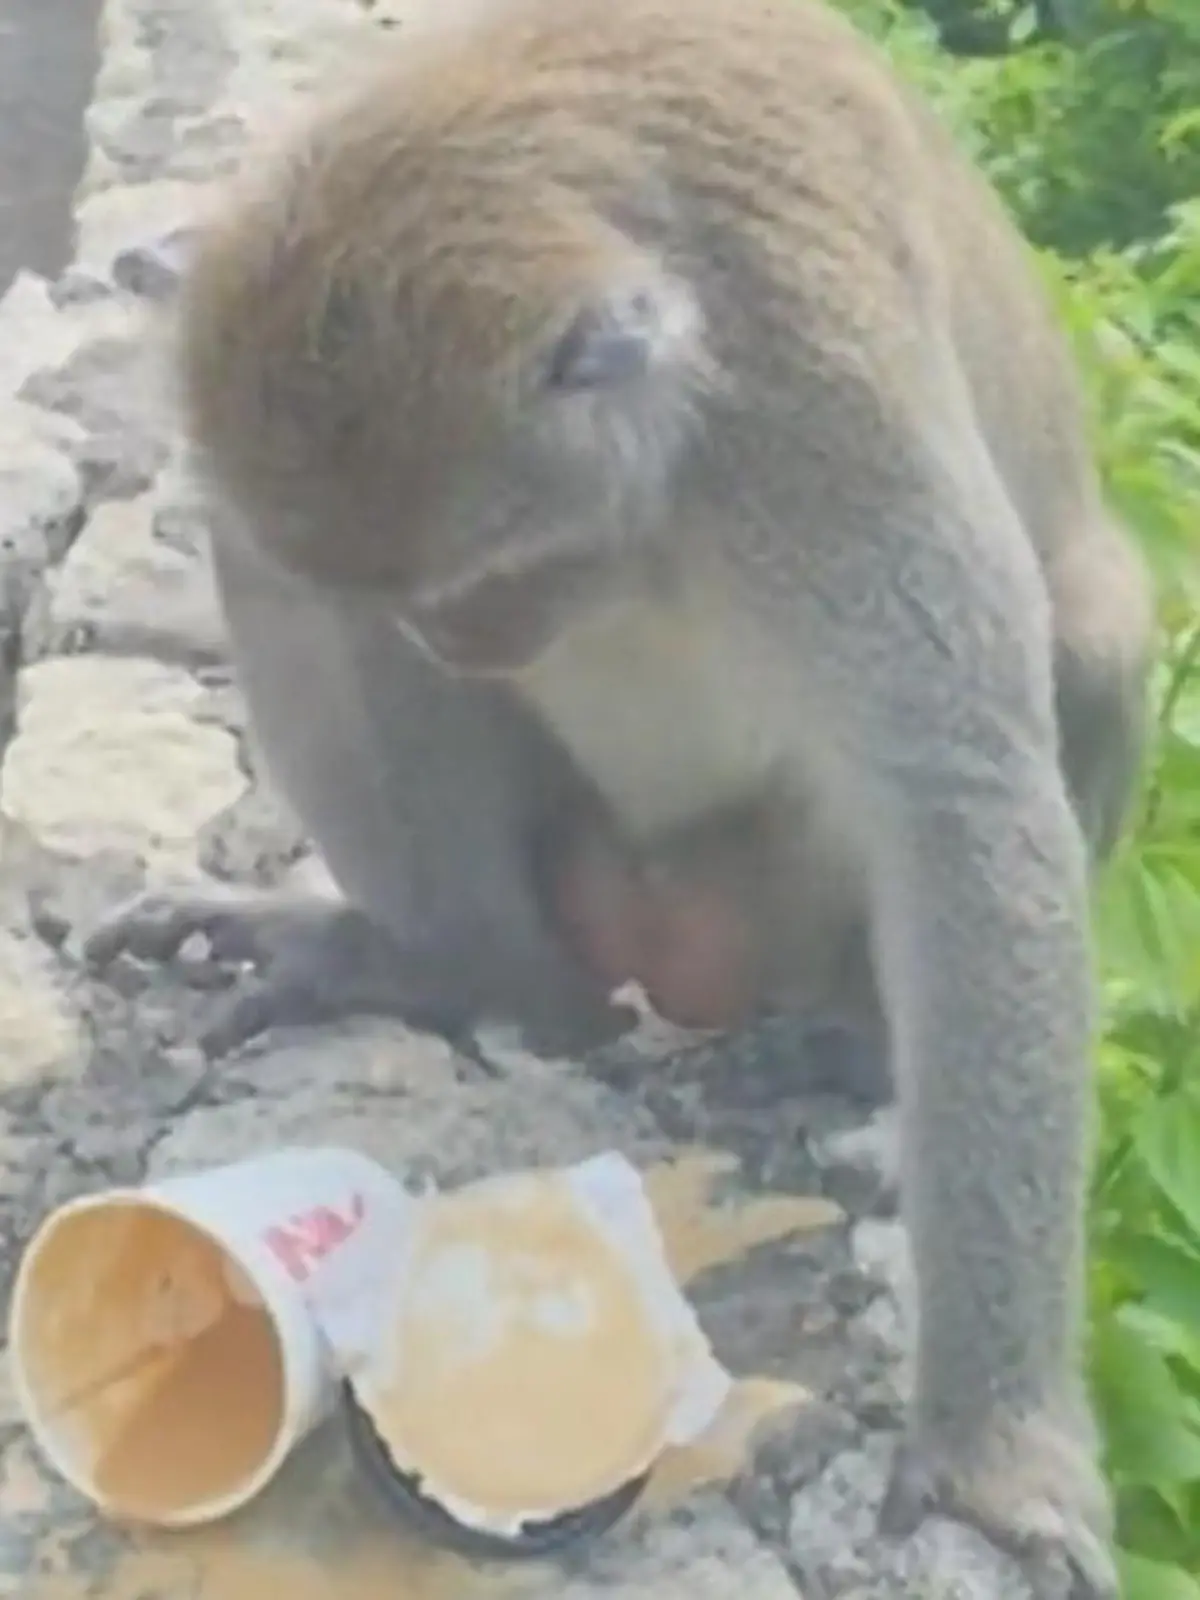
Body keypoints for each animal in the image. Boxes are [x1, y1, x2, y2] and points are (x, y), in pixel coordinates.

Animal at [81, 0, 1157, 1589]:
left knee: (1095, 630)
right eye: (428, 593)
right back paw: (462, 965)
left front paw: (992, 1449)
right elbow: (279, 567)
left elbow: (958, 797)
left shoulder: (812, 411)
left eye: (491, 572)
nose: (453, 643)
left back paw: (850, 1036)